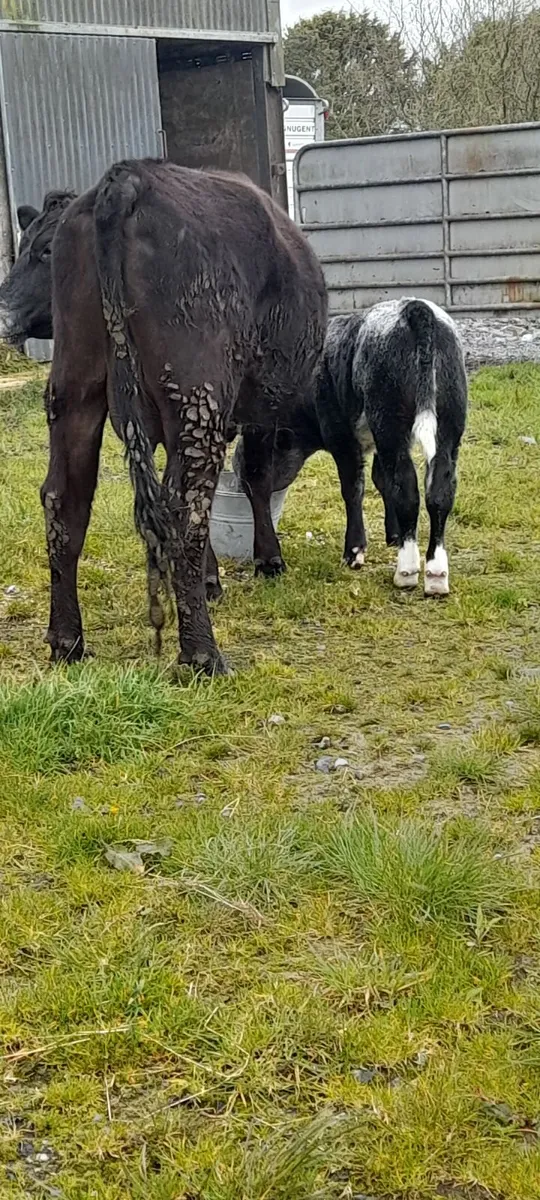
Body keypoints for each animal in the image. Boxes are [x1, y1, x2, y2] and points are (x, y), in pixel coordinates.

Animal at [0, 160, 327, 673]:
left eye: (44, 250)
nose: (4, 315)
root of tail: (128, 177)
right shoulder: (257, 409)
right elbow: (253, 480)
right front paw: (267, 560)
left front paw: (213, 581)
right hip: (197, 395)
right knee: (183, 508)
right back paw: (202, 656)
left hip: (75, 388)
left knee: (64, 499)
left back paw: (68, 641)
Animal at [235, 297, 468, 595]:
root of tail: (415, 308)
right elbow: (381, 480)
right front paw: (393, 534)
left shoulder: (341, 436)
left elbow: (353, 488)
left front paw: (355, 551)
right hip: (448, 425)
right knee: (439, 491)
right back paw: (436, 574)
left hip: (390, 423)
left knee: (407, 489)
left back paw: (406, 571)